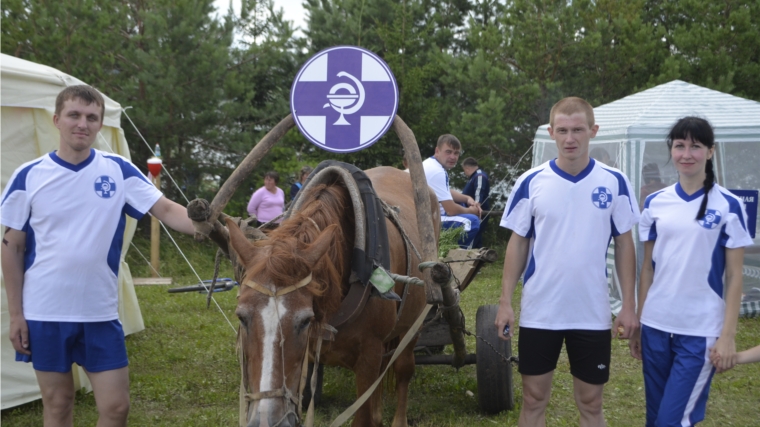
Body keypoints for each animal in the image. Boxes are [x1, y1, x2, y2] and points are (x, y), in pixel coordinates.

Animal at [226, 168, 440, 427]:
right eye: (241, 317)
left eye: (305, 320)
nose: (266, 421)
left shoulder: (368, 357)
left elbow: (363, 413)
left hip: (414, 325)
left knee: (403, 368)